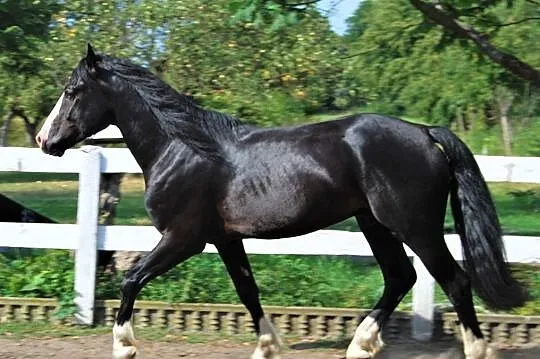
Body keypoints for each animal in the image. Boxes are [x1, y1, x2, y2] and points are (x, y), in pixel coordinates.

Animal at [35, 45, 524, 359]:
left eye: (73, 90)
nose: (43, 140)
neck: (182, 149)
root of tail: (424, 131)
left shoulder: (184, 238)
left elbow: (131, 279)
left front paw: (124, 346)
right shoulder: (224, 239)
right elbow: (248, 291)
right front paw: (268, 346)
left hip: (414, 225)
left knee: (454, 281)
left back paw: (473, 349)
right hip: (375, 224)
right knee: (401, 277)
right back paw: (360, 345)